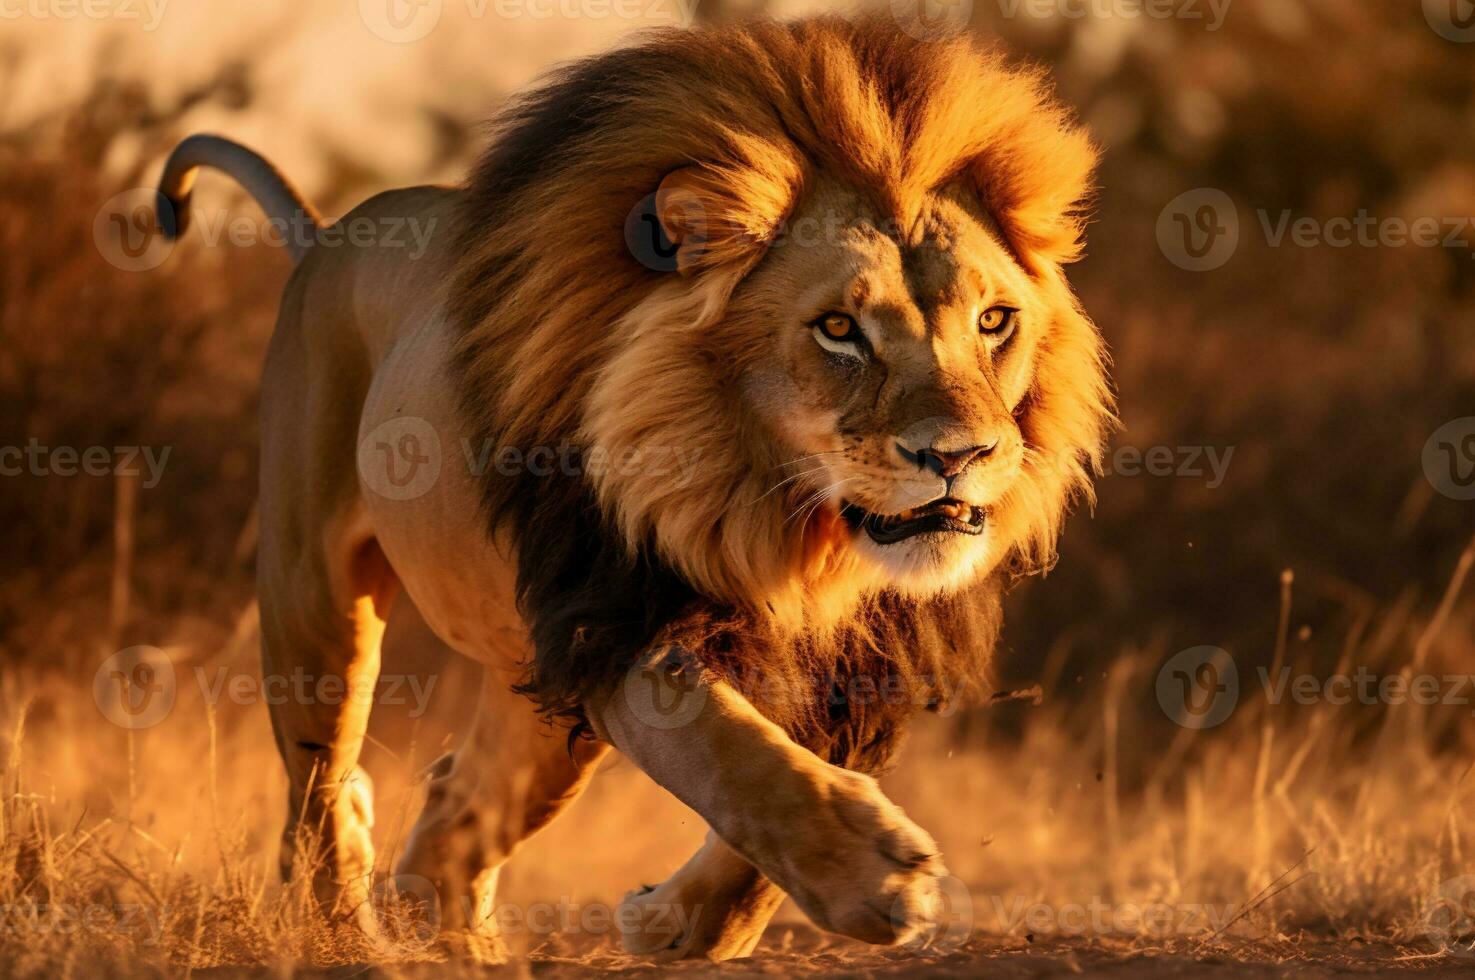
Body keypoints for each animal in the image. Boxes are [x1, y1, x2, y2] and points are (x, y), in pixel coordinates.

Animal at [158, 15, 1109, 962]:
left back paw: (468, 953)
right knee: (319, 795)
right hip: (315, 604)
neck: (792, 528)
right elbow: (724, 751)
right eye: (839, 329)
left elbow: (762, 829)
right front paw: (870, 874)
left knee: (450, 823)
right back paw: (347, 939)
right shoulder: (612, 616)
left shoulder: (871, 661)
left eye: (994, 322)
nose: (958, 455)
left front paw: (678, 923)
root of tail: (329, 236)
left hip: (534, 703)